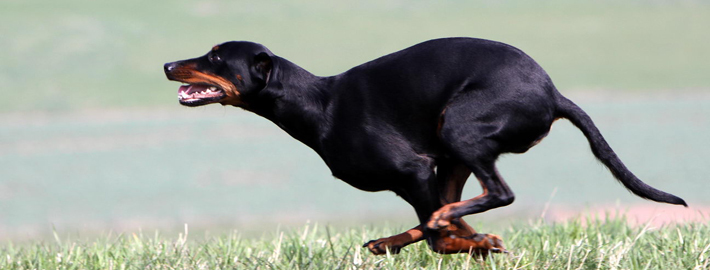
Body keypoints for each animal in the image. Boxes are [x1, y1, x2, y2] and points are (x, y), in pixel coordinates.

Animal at [164, 37, 688, 255]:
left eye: (216, 58)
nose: (168, 64)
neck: (319, 104)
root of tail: (554, 94)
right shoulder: (424, 173)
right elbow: (444, 225)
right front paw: (476, 243)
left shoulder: (412, 170)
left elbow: (441, 234)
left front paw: (473, 243)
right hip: (452, 151)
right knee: (451, 209)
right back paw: (400, 241)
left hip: (459, 128)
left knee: (492, 197)